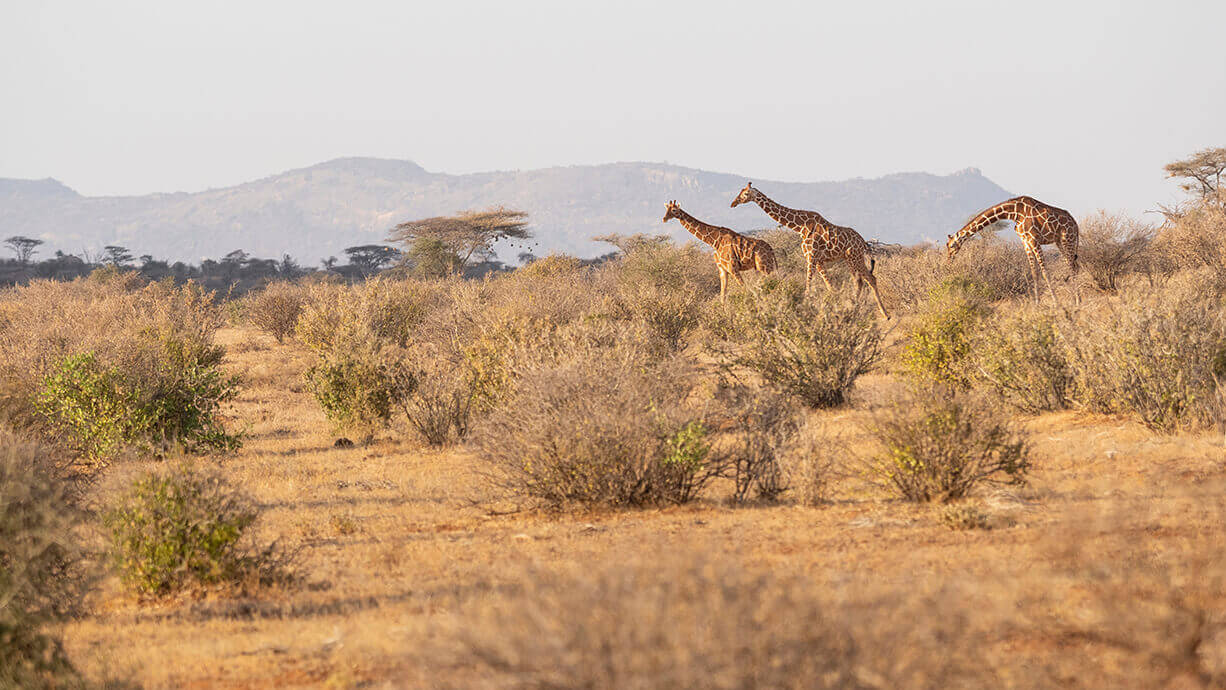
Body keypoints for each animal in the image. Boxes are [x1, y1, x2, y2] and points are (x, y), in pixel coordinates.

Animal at [730, 182, 889, 318]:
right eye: (740, 191)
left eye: (745, 194)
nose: (733, 203)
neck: (799, 226)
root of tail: (863, 242)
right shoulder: (817, 260)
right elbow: (829, 285)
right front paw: (835, 303)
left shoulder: (811, 257)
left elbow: (808, 283)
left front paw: (805, 306)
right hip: (850, 259)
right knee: (860, 281)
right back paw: (854, 306)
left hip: (855, 257)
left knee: (870, 279)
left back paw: (885, 314)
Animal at [946, 195, 1079, 303]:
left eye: (951, 246)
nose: (948, 261)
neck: (1014, 212)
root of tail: (1075, 223)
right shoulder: (1025, 241)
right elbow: (1034, 273)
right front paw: (1037, 303)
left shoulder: (1034, 240)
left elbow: (1045, 272)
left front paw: (1056, 302)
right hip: (1059, 242)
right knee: (1072, 264)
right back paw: (1076, 298)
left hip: (1068, 239)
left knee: (1072, 267)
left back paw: (1076, 300)